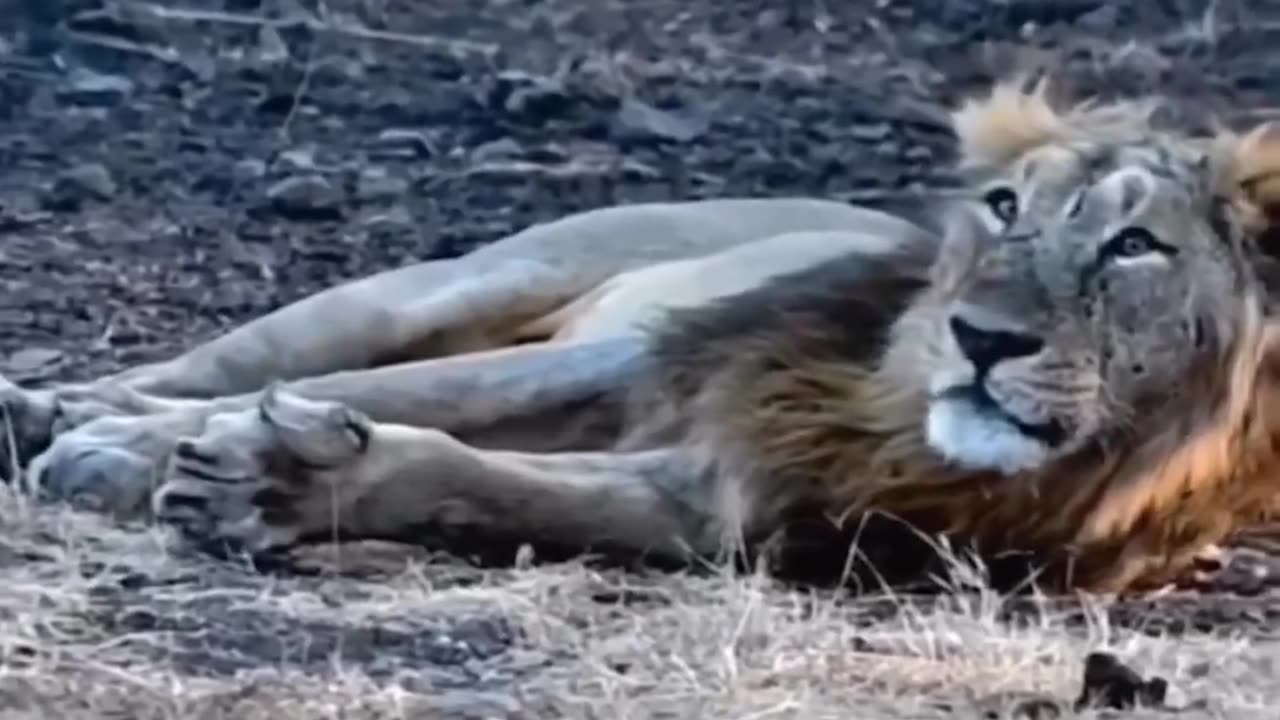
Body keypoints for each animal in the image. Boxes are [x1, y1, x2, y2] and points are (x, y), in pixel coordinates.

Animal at [2, 79, 1280, 594]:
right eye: (1005, 208)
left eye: (1132, 247)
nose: (979, 338)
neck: (889, 419)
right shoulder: (654, 350)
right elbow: (443, 400)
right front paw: (121, 449)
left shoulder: (729, 499)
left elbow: (472, 477)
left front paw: (270, 482)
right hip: (441, 288)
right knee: (228, 361)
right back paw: (50, 407)